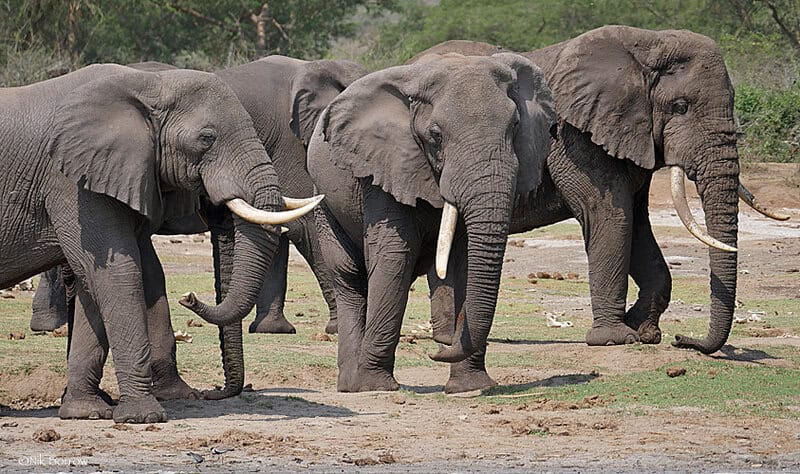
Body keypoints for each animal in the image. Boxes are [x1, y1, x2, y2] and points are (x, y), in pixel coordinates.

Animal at [307, 52, 556, 392]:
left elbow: (464, 262)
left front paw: (470, 387)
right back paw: (350, 385)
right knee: (348, 275)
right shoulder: (385, 165)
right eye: (436, 135)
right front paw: (376, 386)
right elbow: (394, 257)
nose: (436, 353)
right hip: (322, 200)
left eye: (516, 125)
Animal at [411, 26, 790, 393]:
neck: (648, 44)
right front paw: (616, 339)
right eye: (681, 106)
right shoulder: (574, 137)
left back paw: (446, 340)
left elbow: (636, 224)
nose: (685, 340)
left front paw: (644, 331)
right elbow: (610, 216)